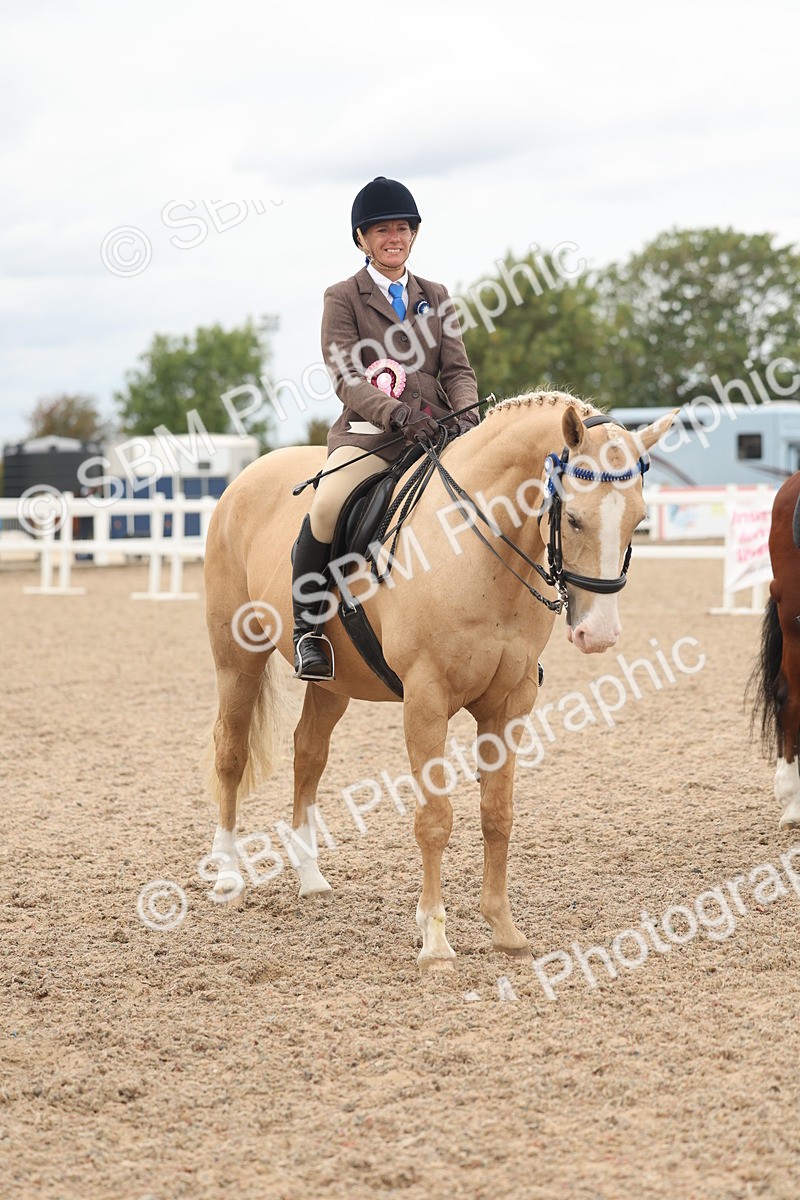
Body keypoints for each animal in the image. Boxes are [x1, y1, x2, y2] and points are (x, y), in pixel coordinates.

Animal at [203, 390, 677, 969]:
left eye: (639, 518)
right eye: (576, 519)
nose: (599, 634)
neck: (476, 550)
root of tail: (245, 477)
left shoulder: (510, 702)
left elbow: (497, 813)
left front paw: (504, 928)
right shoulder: (426, 700)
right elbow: (435, 818)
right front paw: (434, 939)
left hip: (334, 683)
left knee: (308, 754)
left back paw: (310, 876)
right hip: (236, 659)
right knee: (231, 752)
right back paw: (227, 874)